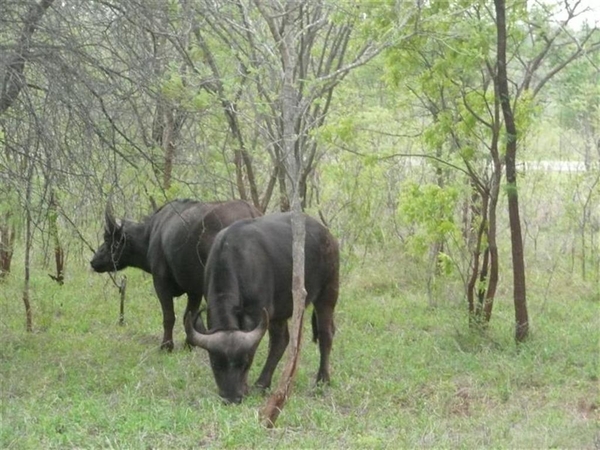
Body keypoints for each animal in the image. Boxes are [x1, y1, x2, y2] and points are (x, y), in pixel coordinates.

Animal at [89, 199, 260, 350]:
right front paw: (189, 345)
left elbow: (169, 316)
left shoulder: (161, 283)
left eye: (108, 239)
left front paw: (166, 346)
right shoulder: (194, 290)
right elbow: (189, 317)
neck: (151, 234)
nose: (93, 261)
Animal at [185, 212, 340, 404]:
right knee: (281, 341)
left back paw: (322, 380)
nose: (232, 398)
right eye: (215, 364)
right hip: (281, 311)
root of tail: (327, 235)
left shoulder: (256, 313)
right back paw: (263, 383)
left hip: (328, 292)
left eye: (245, 362)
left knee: (326, 334)